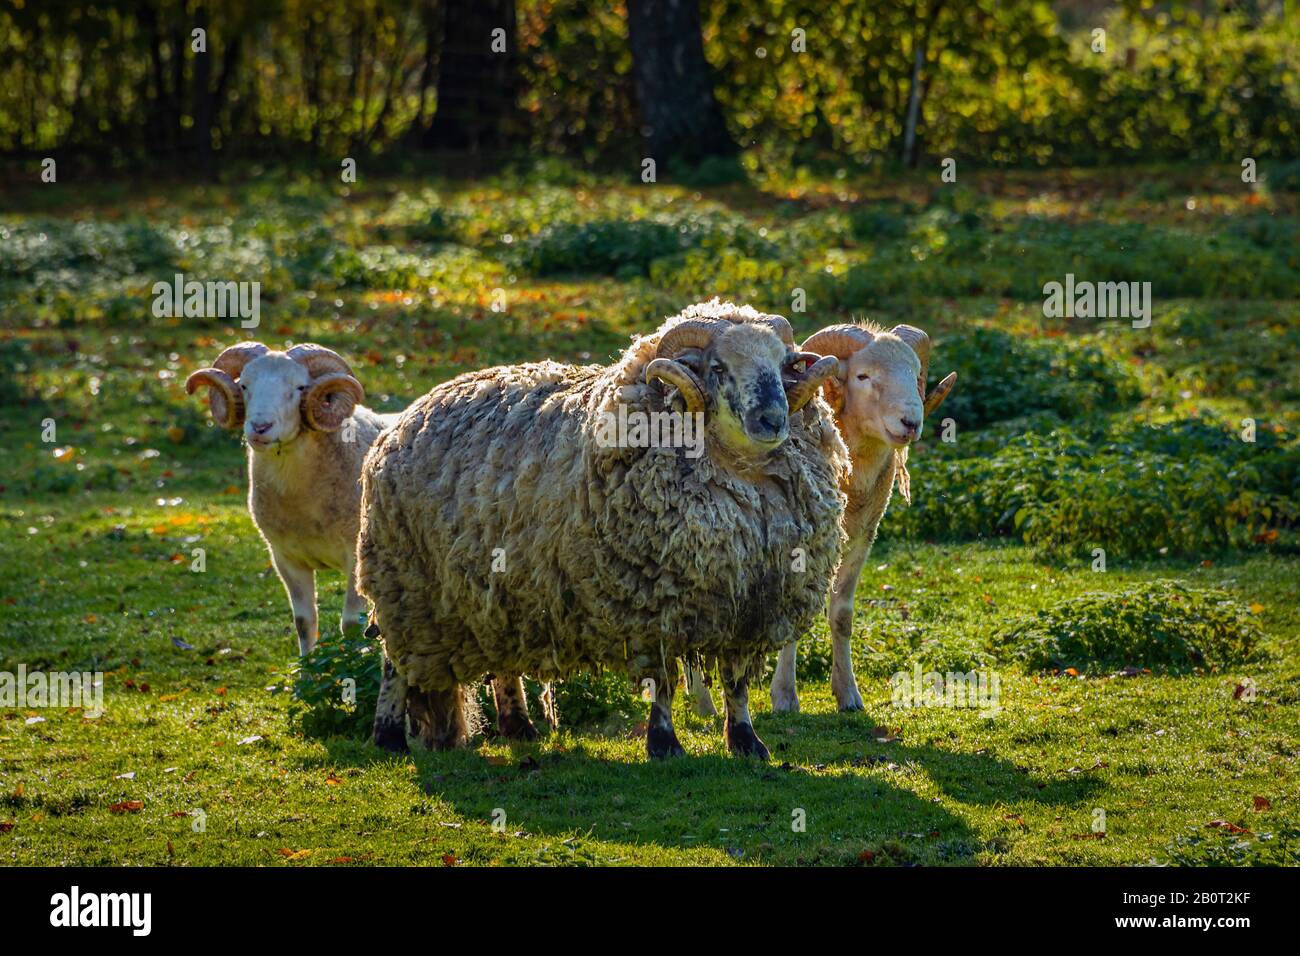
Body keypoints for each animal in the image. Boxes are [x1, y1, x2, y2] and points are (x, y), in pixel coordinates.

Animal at [185, 342, 399, 656]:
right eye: (244, 385)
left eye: (299, 388)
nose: (260, 427)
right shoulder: (285, 558)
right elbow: (304, 622)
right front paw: (307, 663)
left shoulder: (355, 556)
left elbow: (350, 624)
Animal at [356, 299, 849, 759]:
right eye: (717, 368)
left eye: (783, 365)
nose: (772, 420)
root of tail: (407, 415)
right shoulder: (651, 604)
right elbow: (663, 679)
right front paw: (664, 744)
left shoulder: (750, 607)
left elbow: (736, 681)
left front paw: (747, 740)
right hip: (407, 581)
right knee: (392, 660)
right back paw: (388, 735)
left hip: (498, 589)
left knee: (501, 657)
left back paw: (519, 726)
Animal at [766, 322, 956, 712]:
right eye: (863, 376)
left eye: (915, 373)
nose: (911, 422)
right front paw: (785, 697)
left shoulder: (861, 541)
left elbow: (841, 616)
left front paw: (848, 695)